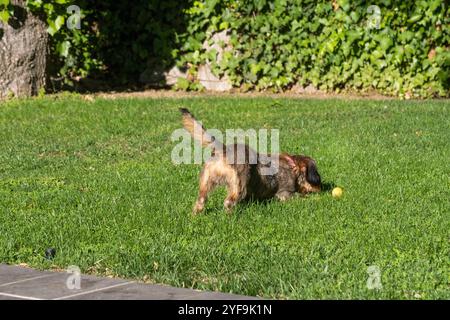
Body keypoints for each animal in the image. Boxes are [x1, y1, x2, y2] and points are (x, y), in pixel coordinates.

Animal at [178, 108, 322, 215]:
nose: (321, 189)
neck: (292, 165)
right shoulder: (285, 193)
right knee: (228, 202)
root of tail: (224, 149)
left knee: (201, 200)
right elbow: (299, 196)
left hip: (206, 181)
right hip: (239, 184)